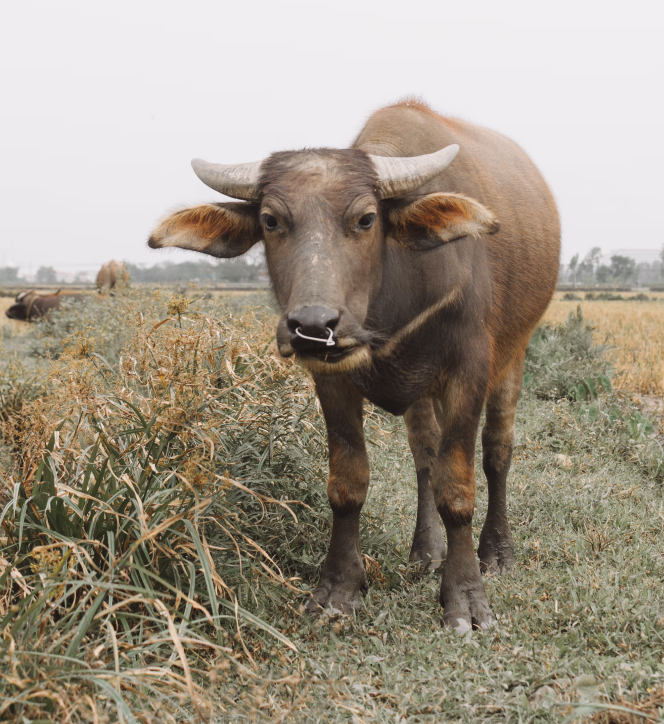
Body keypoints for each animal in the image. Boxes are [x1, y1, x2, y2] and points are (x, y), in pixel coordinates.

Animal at [148, 100, 560, 632]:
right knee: (424, 454)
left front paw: (466, 599)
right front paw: (339, 588)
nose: (311, 325)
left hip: (515, 353)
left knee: (496, 452)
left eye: (366, 219)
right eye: (270, 220)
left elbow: (457, 486)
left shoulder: (468, 370)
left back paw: (497, 551)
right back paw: (426, 551)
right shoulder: (333, 379)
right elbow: (349, 482)